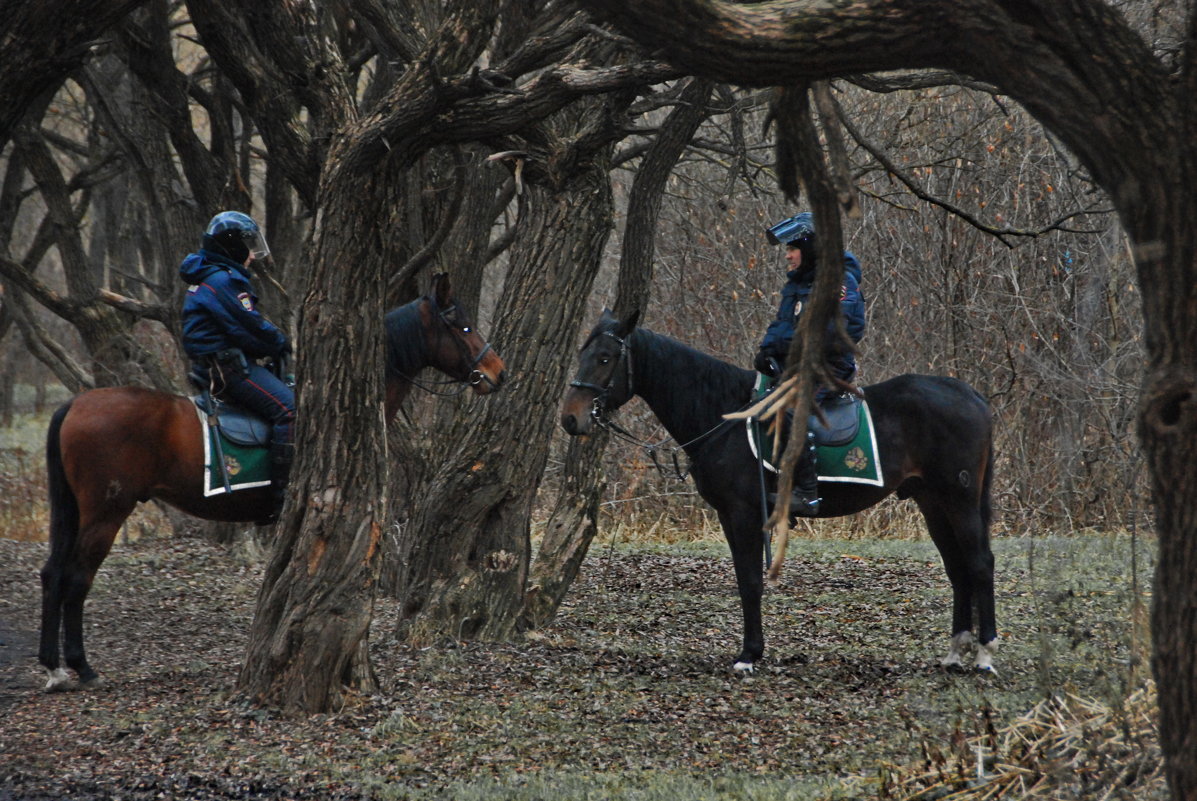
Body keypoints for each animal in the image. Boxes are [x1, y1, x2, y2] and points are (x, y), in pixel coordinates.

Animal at [39, 271, 502, 689]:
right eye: (463, 326)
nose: (497, 372)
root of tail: (74, 405)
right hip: (105, 513)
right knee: (76, 578)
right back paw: (81, 667)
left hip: (77, 513)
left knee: (53, 573)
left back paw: (53, 667)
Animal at [564, 308, 995, 670]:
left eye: (605, 358)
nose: (571, 419)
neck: (725, 417)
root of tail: (970, 394)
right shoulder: (729, 515)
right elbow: (745, 579)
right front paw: (751, 650)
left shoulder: (743, 513)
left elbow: (750, 581)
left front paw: (749, 655)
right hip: (933, 501)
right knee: (957, 568)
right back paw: (956, 652)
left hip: (958, 498)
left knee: (979, 563)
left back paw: (985, 654)